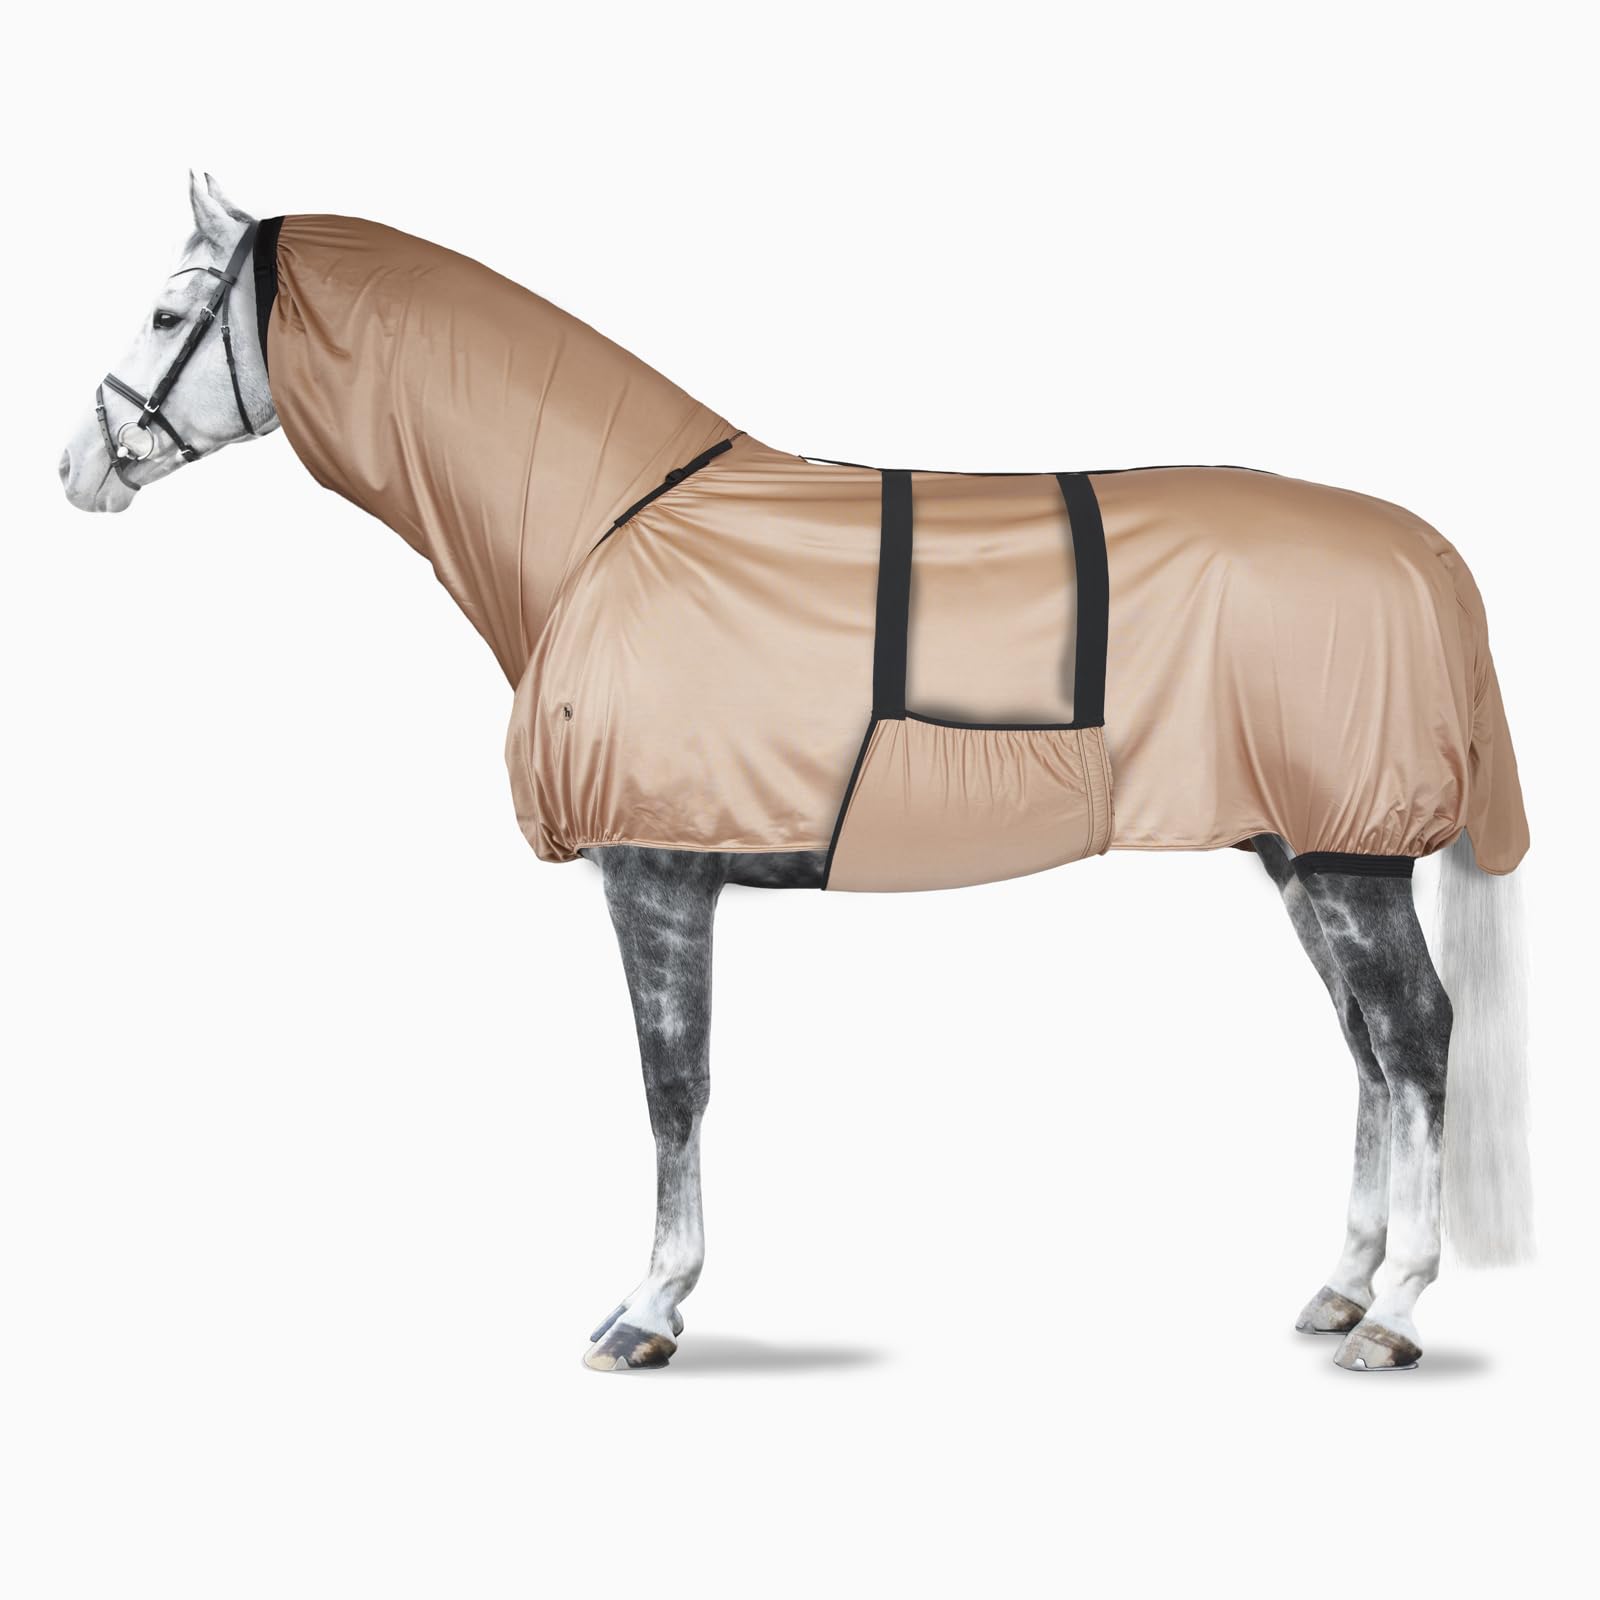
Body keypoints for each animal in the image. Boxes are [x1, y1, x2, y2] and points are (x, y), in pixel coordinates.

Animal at [58, 174, 1532, 1372]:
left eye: (165, 310)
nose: (78, 466)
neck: (608, 527)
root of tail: (1424, 550)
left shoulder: (655, 870)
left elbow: (672, 1085)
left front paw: (647, 1309)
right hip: (1299, 853)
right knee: (1363, 1045)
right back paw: (1340, 1288)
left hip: (1345, 855)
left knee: (1414, 1036)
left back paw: (1399, 1308)